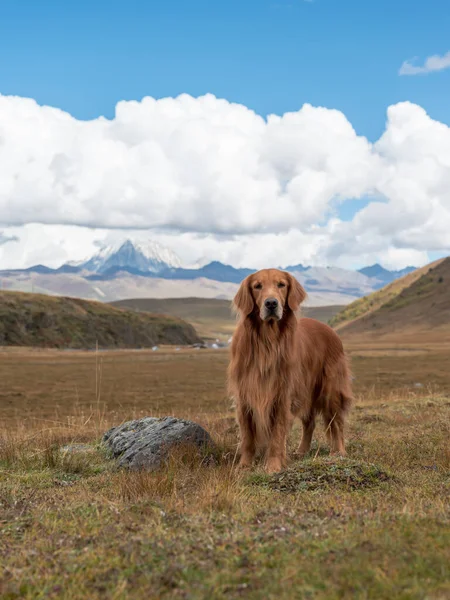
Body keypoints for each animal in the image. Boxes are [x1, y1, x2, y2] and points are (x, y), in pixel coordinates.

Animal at [227, 270, 354, 474]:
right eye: (257, 286)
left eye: (281, 285)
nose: (271, 303)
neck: (267, 342)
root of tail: (330, 330)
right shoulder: (245, 396)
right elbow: (247, 436)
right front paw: (244, 465)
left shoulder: (282, 396)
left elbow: (277, 437)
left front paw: (273, 466)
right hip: (306, 392)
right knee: (309, 423)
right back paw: (302, 451)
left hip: (331, 390)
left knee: (337, 423)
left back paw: (339, 452)